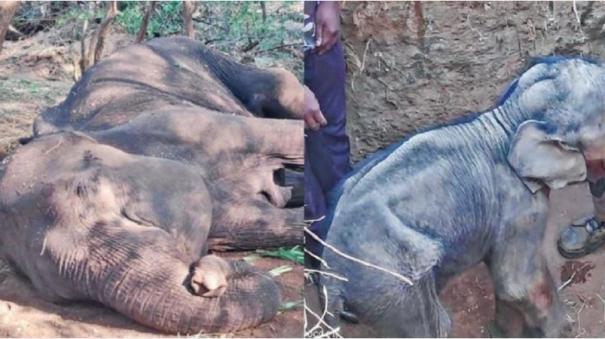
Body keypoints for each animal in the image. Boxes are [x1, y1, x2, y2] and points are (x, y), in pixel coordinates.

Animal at [0, 36, 302, 334]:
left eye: (90, 189)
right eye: (59, 295)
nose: (203, 282)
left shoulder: (182, 124)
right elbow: (255, 222)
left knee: (278, 82)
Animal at [316, 57, 605, 338]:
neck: (508, 116)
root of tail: (329, 277)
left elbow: (508, 283)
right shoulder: (517, 205)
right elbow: (519, 284)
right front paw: (566, 330)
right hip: (389, 281)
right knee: (432, 326)